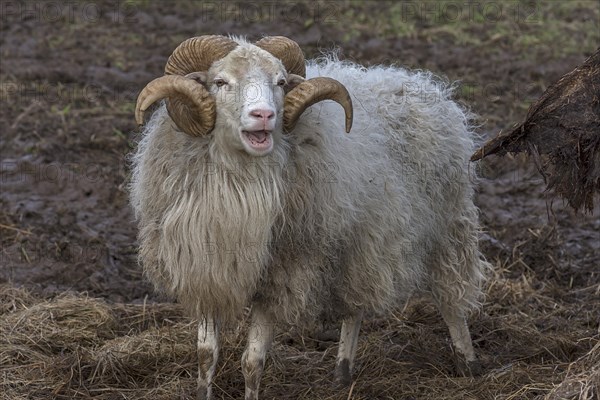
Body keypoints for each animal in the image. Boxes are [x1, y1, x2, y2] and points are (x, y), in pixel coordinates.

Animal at [129, 35, 490, 400]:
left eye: (280, 82)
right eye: (220, 82)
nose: (264, 115)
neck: (239, 189)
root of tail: (423, 85)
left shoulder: (280, 275)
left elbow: (252, 361)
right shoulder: (205, 271)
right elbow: (206, 353)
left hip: (449, 225)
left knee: (452, 297)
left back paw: (468, 362)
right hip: (359, 243)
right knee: (355, 306)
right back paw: (343, 371)